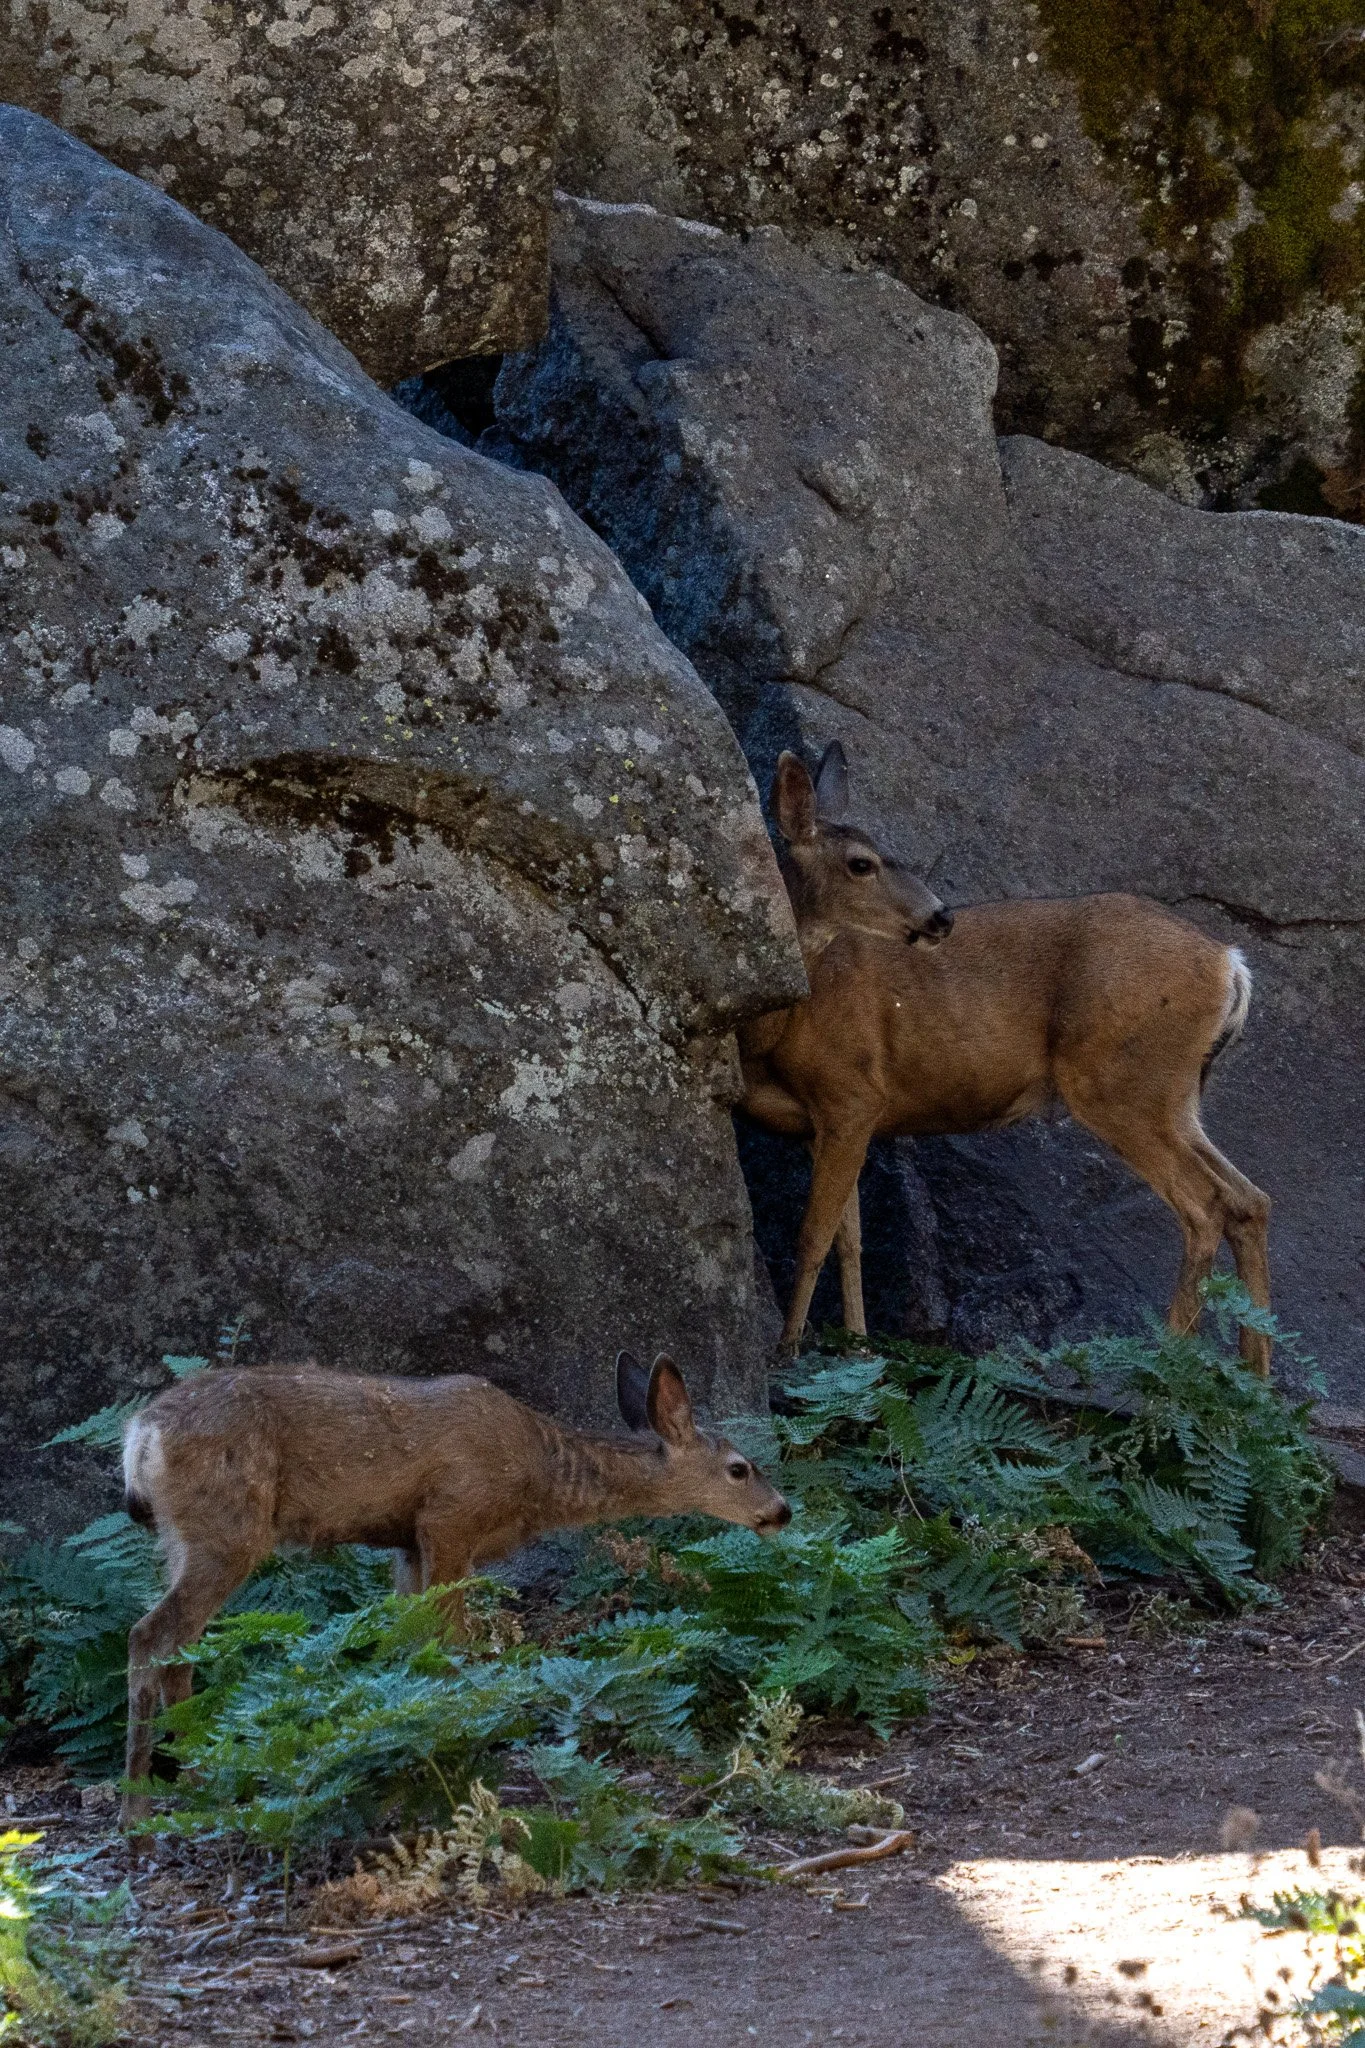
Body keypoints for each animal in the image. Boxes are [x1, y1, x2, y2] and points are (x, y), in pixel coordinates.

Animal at [119, 1351, 789, 1824]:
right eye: (740, 1468)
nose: (781, 1511)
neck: (540, 1476)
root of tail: (139, 1437)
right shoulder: (450, 1518)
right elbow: (451, 1645)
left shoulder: (408, 1545)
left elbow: (411, 1643)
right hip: (227, 1529)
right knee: (150, 1634)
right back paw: (139, 1810)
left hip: (183, 1538)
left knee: (178, 1648)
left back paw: (202, 1780)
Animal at [738, 743, 1272, 1376]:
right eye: (861, 863)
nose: (941, 916)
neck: (779, 1023)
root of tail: (1230, 963)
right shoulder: (821, 1123)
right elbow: (851, 1237)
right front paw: (857, 1347)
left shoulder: (852, 1094)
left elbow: (813, 1233)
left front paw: (788, 1347)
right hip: (1175, 1095)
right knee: (1249, 1199)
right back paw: (1257, 1375)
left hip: (1120, 1081)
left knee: (1205, 1205)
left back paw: (1166, 1364)